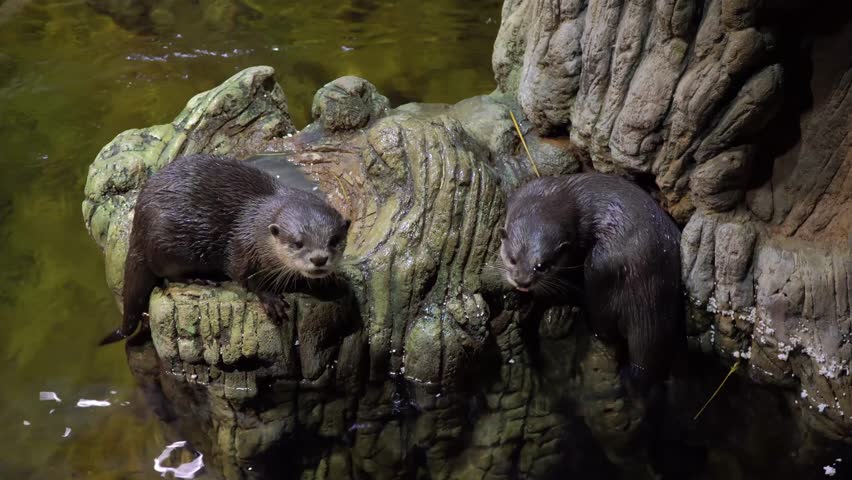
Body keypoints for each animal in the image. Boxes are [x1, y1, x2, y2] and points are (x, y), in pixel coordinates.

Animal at [99, 153, 351, 345]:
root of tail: (137, 228)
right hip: (166, 245)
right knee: (167, 273)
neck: (256, 224)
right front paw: (271, 299)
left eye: (334, 240)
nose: (319, 259)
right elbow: (244, 276)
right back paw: (200, 279)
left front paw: (332, 281)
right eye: (298, 243)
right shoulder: (242, 247)